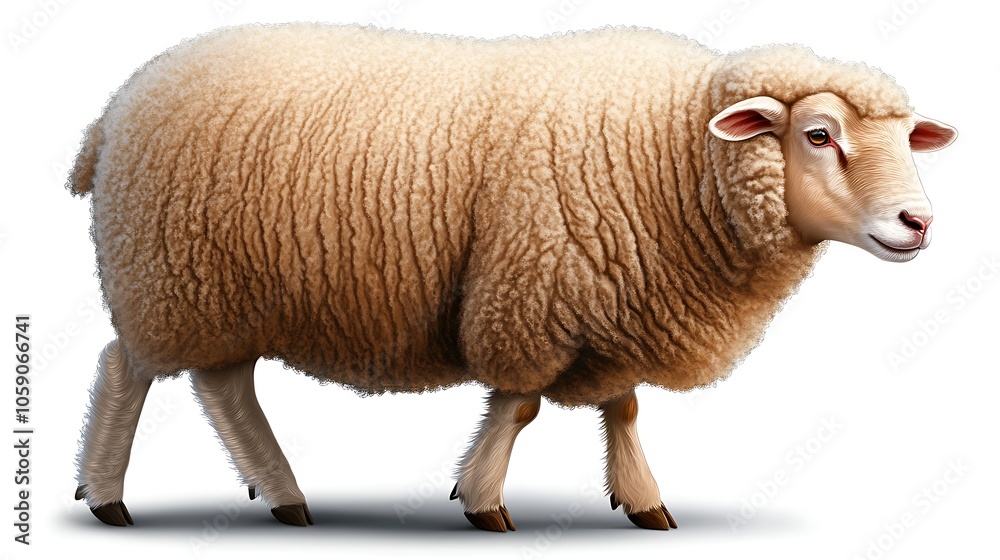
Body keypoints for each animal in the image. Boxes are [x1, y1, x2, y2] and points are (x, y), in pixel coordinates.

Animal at [68, 23, 956, 531]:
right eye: (819, 134)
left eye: (907, 136)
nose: (919, 223)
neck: (676, 149)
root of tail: (113, 109)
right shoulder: (529, 291)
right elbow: (520, 405)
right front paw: (483, 500)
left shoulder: (613, 302)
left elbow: (623, 407)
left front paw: (643, 500)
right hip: (167, 278)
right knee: (125, 371)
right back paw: (108, 497)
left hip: (219, 291)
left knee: (223, 386)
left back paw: (284, 496)